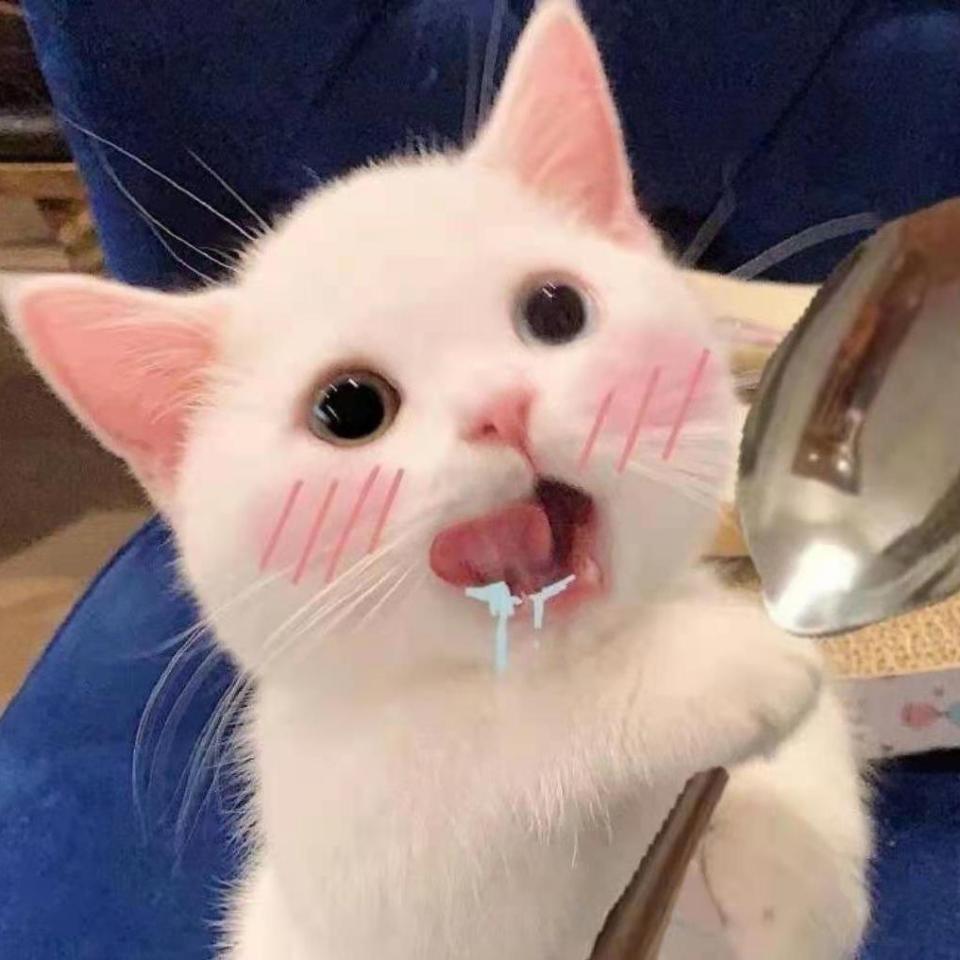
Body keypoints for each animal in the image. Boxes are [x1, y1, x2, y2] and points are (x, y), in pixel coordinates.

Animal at [5, 1, 870, 957]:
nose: (501, 407)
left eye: (556, 309)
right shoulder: (351, 842)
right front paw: (715, 668)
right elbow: (467, 775)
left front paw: (781, 846)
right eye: (348, 408)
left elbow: (819, 871)